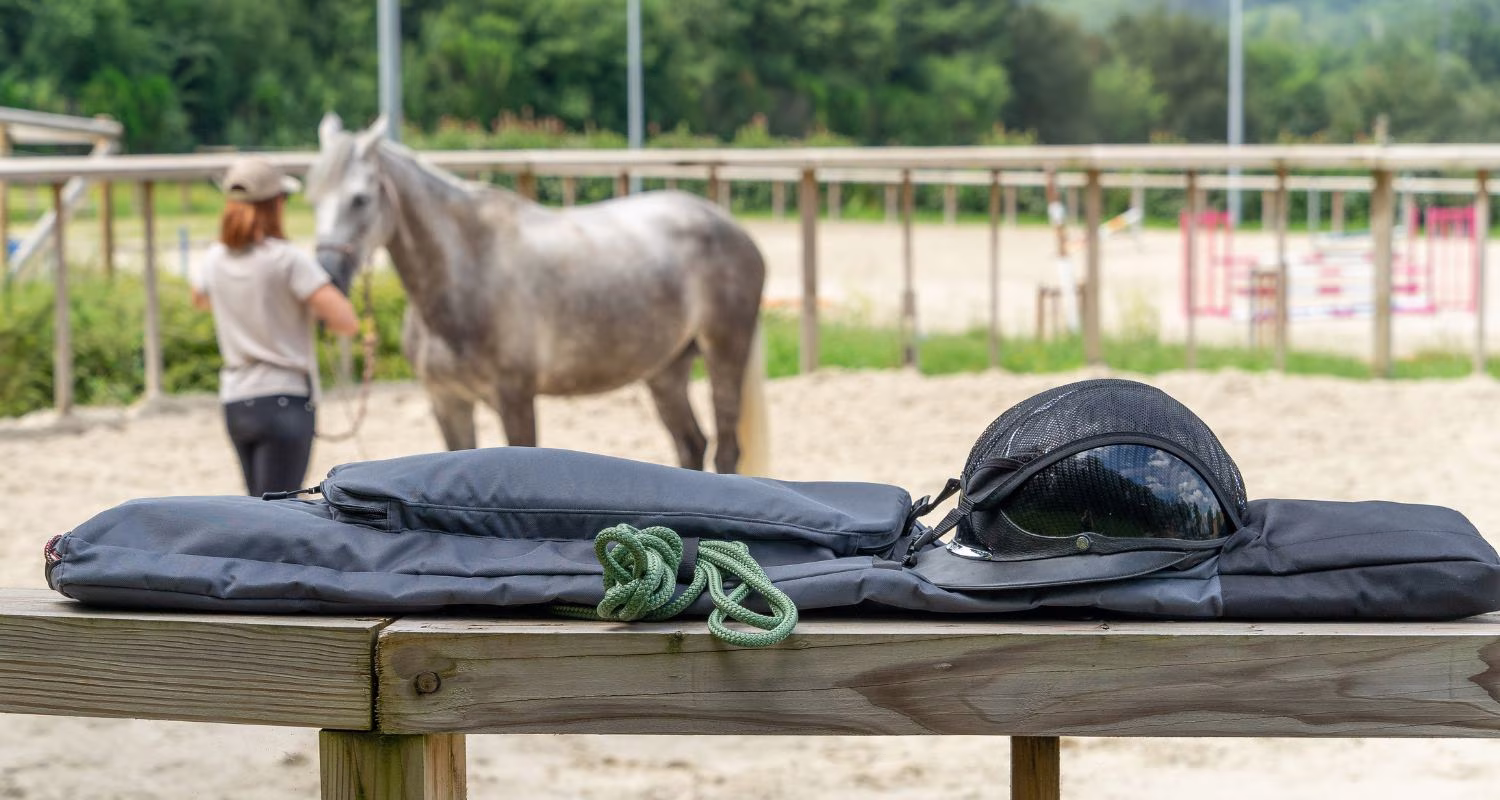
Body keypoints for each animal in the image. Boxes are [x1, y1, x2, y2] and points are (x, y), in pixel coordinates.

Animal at [306, 113, 770, 474]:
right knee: (691, 444)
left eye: (360, 199)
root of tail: (733, 228)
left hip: (724, 353)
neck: (470, 272)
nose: (326, 276)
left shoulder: (514, 398)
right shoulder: (447, 402)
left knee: (726, 451)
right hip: (666, 371)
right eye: (312, 198)